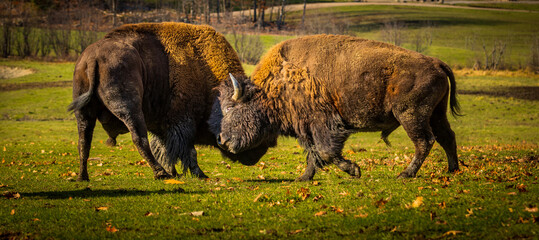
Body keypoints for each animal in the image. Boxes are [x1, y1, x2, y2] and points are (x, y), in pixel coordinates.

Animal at [68, 22, 270, 181]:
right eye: (243, 115)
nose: (256, 155)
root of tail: (93, 57)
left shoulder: (163, 128)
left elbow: (166, 150)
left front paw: (175, 173)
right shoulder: (182, 123)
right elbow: (187, 151)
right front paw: (199, 174)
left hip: (84, 113)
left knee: (84, 141)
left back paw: (82, 177)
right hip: (130, 109)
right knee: (138, 138)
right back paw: (160, 174)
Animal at [209, 33, 462, 180]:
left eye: (231, 108)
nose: (222, 140)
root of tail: (436, 63)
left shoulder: (324, 123)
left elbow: (326, 151)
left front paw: (355, 170)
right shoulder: (305, 128)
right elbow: (313, 152)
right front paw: (304, 178)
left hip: (411, 116)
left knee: (425, 141)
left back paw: (405, 174)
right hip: (436, 114)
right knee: (447, 137)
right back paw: (453, 169)